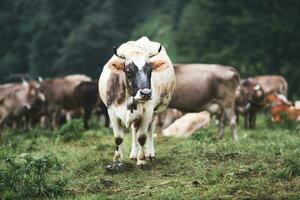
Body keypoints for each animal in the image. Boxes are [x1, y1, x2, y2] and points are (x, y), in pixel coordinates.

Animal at [98, 36, 176, 167]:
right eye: (128, 71)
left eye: (150, 71)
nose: (146, 93)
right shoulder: (112, 112)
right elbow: (118, 138)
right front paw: (117, 160)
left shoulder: (147, 112)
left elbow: (142, 137)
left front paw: (142, 159)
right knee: (134, 130)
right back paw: (133, 155)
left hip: (155, 113)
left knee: (150, 130)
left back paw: (149, 154)